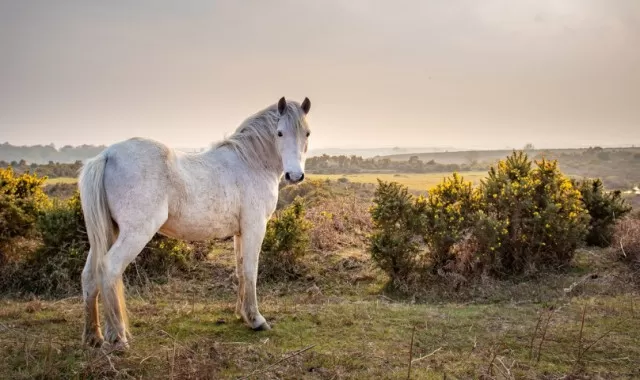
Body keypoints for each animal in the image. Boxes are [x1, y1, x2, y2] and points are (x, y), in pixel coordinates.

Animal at [77, 96, 312, 348]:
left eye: (307, 133)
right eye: (279, 132)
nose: (295, 176)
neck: (251, 162)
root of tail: (107, 155)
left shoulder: (240, 232)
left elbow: (240, 270)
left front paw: (242, 314)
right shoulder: (255, 227)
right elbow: (251, 269)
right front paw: (256, 319)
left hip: (108, 233)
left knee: (90, 276)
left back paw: (93, 336)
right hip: (135, 233)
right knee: (109, 268)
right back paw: (118, 338)